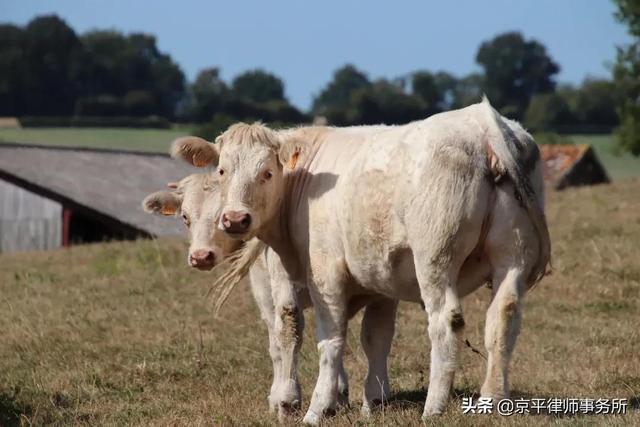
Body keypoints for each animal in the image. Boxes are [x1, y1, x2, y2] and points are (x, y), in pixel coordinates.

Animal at [172, 98, 552, 422]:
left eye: (267, 172)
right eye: (222, 171)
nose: (236, 219)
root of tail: (484, 124)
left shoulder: (324, 272)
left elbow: (321, 336)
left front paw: (311, 407)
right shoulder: (380, 278)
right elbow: (375, 336)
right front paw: (371, 402)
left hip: (435, 257)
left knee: (445, 321)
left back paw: (433, 408)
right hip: (512, 256)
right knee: (503, 316)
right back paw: (493, 399)